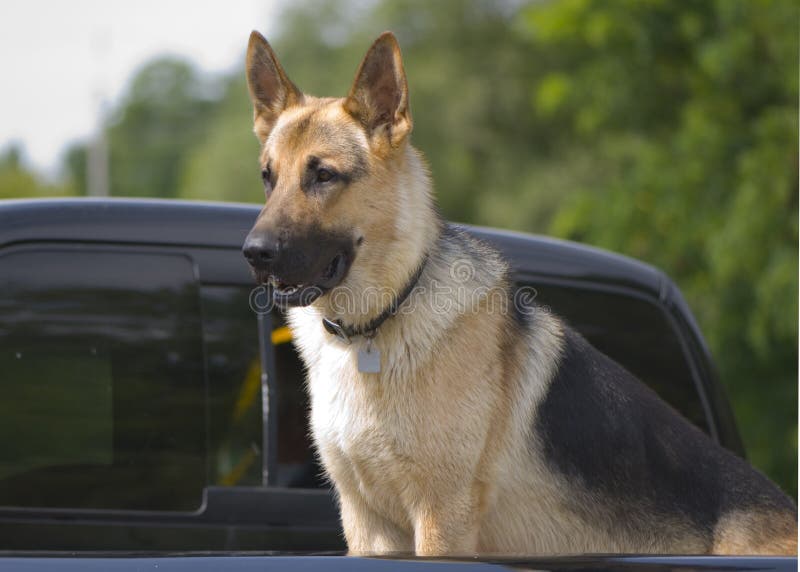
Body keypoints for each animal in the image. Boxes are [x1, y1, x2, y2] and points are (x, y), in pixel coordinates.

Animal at [241, 30, 796, 556]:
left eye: (323, 175)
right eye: (268, 178)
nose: (253, 252)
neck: (376, 326)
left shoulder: (440, 519)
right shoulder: (368, 527)